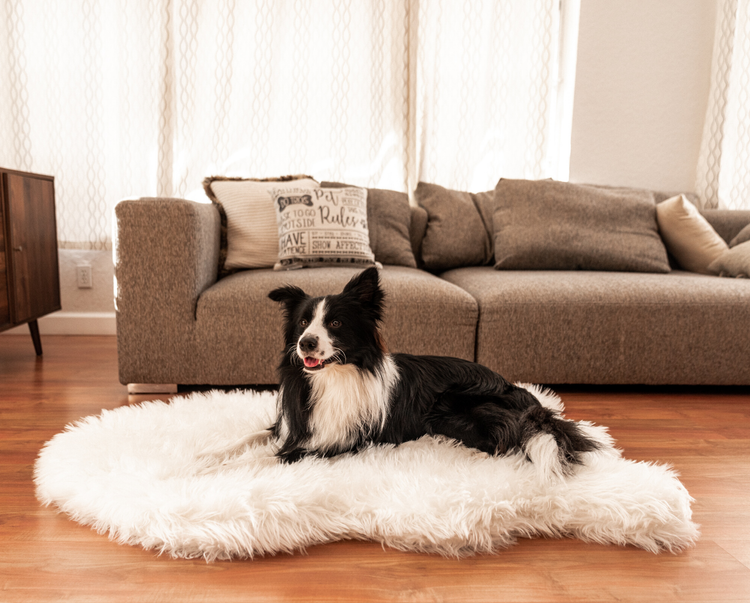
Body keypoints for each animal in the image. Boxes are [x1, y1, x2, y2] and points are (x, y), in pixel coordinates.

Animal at [268, 268, 604, 476]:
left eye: (335, 323)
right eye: (302, 322)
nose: (305, 343)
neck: (335, 376)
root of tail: (515, 389)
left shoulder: (348, 440)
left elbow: (281, 456)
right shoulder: (289, 427)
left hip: (450, 406)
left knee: (505, 437)